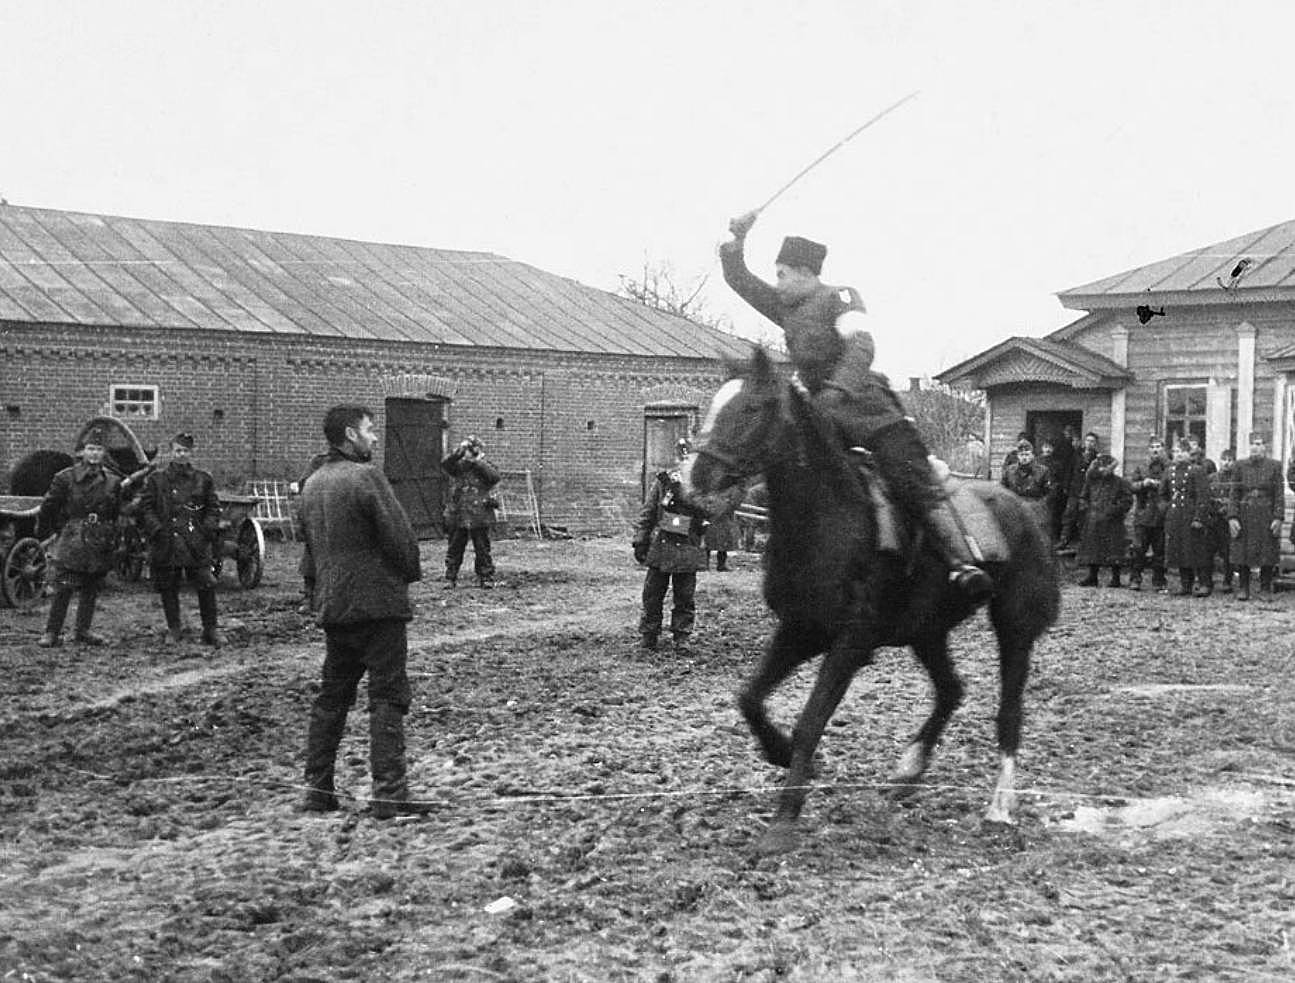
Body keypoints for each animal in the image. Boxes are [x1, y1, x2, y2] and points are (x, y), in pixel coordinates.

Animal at [683, 352, 1056, 854]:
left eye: (752, 408)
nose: (695, 479)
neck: (829, 521)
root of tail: (1022, 510)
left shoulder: (850, 644)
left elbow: (811, 720)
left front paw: (784, 819)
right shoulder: (799, 630)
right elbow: (749, 698)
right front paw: (780, 754)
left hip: (1014, 627)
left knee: (1009, 712)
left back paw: (999, 807)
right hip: (926, 631)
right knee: (950, 690)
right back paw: (910, 770)